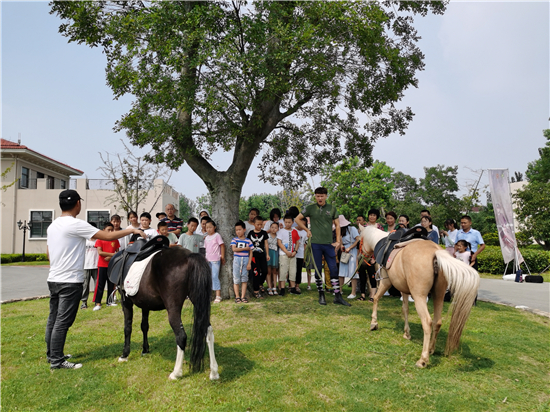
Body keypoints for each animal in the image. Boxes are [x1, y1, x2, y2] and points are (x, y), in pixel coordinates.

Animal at [360, 225, 480, 366]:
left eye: (359, 241)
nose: (363, 260)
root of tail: (435, 253)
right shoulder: (405, 290)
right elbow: (405, 309)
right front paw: (407, 333)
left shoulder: (386, 282)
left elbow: (376, 299)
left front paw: (374, 323)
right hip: (438, 295)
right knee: (437, 322)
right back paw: (431, 349)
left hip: (419, 297)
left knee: (427, 322)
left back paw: (423, 359)